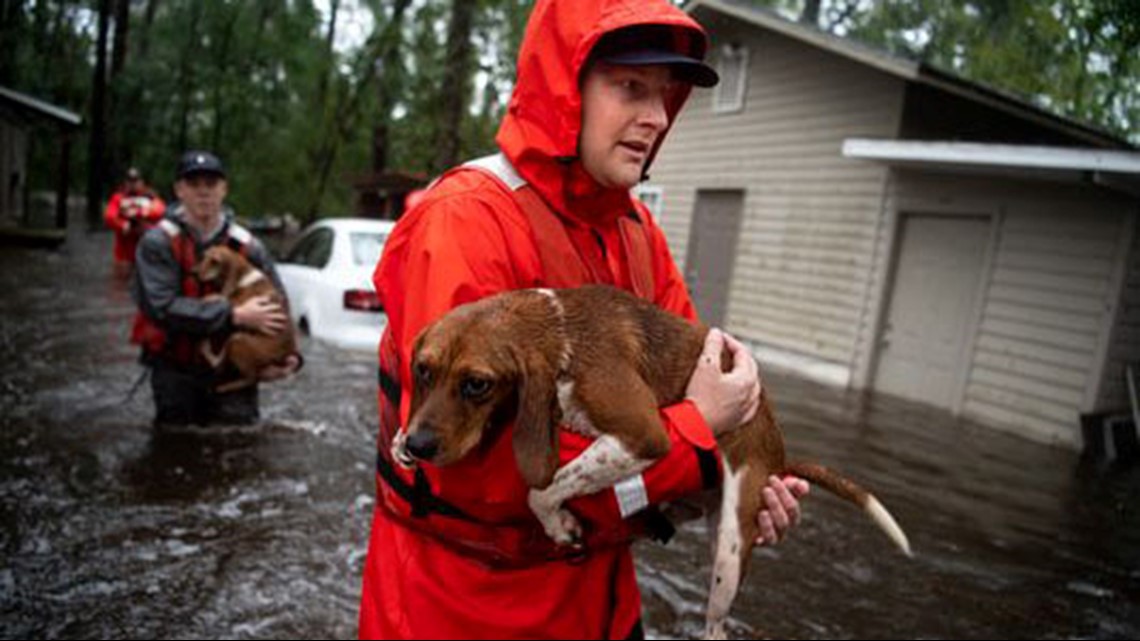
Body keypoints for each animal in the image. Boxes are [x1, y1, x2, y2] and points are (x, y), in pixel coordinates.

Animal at [194, 244, 298, 392]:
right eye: (204, 257)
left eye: (214, 261)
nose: (193, 272)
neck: (243, 277)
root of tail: (281, 358)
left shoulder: (237, 303)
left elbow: (215, 297)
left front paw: (207, 299)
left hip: (237, 339)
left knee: (245, 376)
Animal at [396, 285, 912, 638]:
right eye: (423, 370)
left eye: (477, 384)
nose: (419, 445)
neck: (561, 333)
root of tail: (778, 452)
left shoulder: (645, 434)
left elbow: (540, 488)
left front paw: (560, 525)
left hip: (729, 550)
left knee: (716, 626)